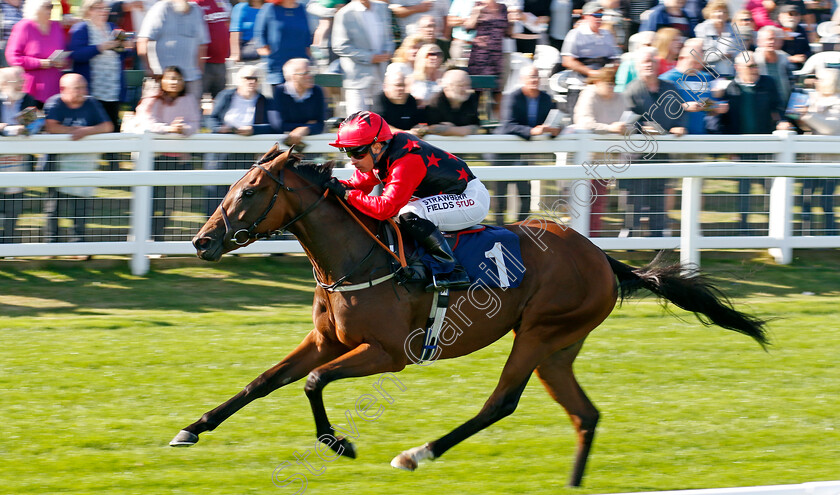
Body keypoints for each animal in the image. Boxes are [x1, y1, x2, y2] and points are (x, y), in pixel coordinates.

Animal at [172, 145, 768, 490]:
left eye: (251, 190)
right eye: (232, 186)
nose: (202, 242)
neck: (356, 259)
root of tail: (601, 257)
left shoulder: (388, 355)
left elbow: (314, 382)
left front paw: (340, 443)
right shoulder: (326, 339)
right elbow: (264, 381)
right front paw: (191, 429)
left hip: (539, 332)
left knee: (500, 403)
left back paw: (417, 454)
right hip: (559, 348)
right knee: (585, 415)